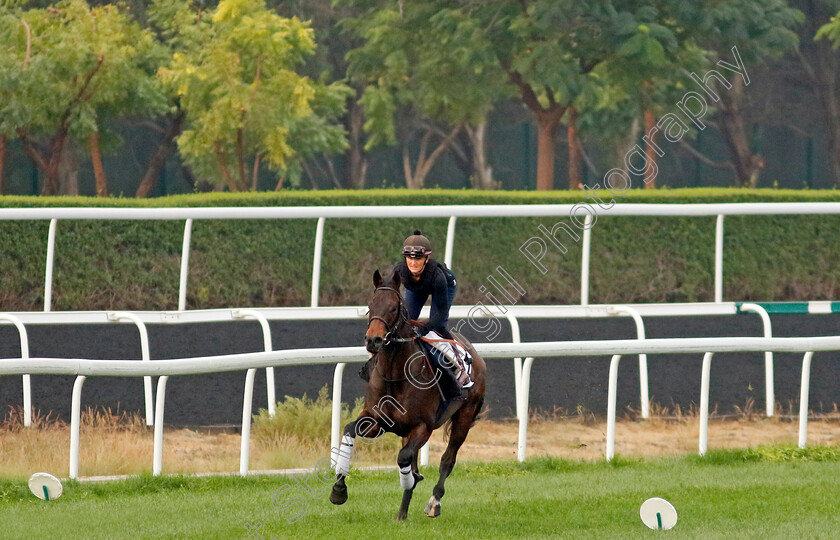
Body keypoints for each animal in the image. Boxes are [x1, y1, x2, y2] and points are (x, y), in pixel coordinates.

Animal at [328, 268, 486, 520]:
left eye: (394, 307)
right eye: (370, 305)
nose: (373, 340)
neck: (395, 374)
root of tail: (474, 353)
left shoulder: (423, 427)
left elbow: (404, 458)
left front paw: (414, 484)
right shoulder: (378, 421)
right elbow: (349, 430)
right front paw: (339, 489)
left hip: (465, 415)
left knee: (447, 459)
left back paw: (434, 502)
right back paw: (403, 511)